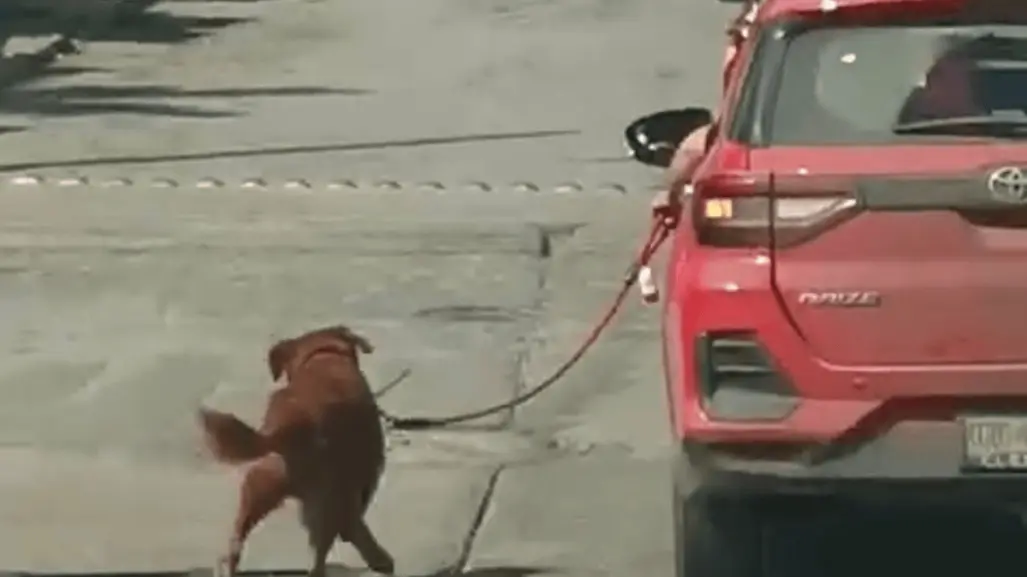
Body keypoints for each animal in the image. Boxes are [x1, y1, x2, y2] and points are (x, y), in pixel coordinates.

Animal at [198, 326, 394, 570]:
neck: (324, 355)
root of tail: (293, 428)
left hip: (258, 487)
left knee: (235, 544)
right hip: (323, 509)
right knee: (321, 557)